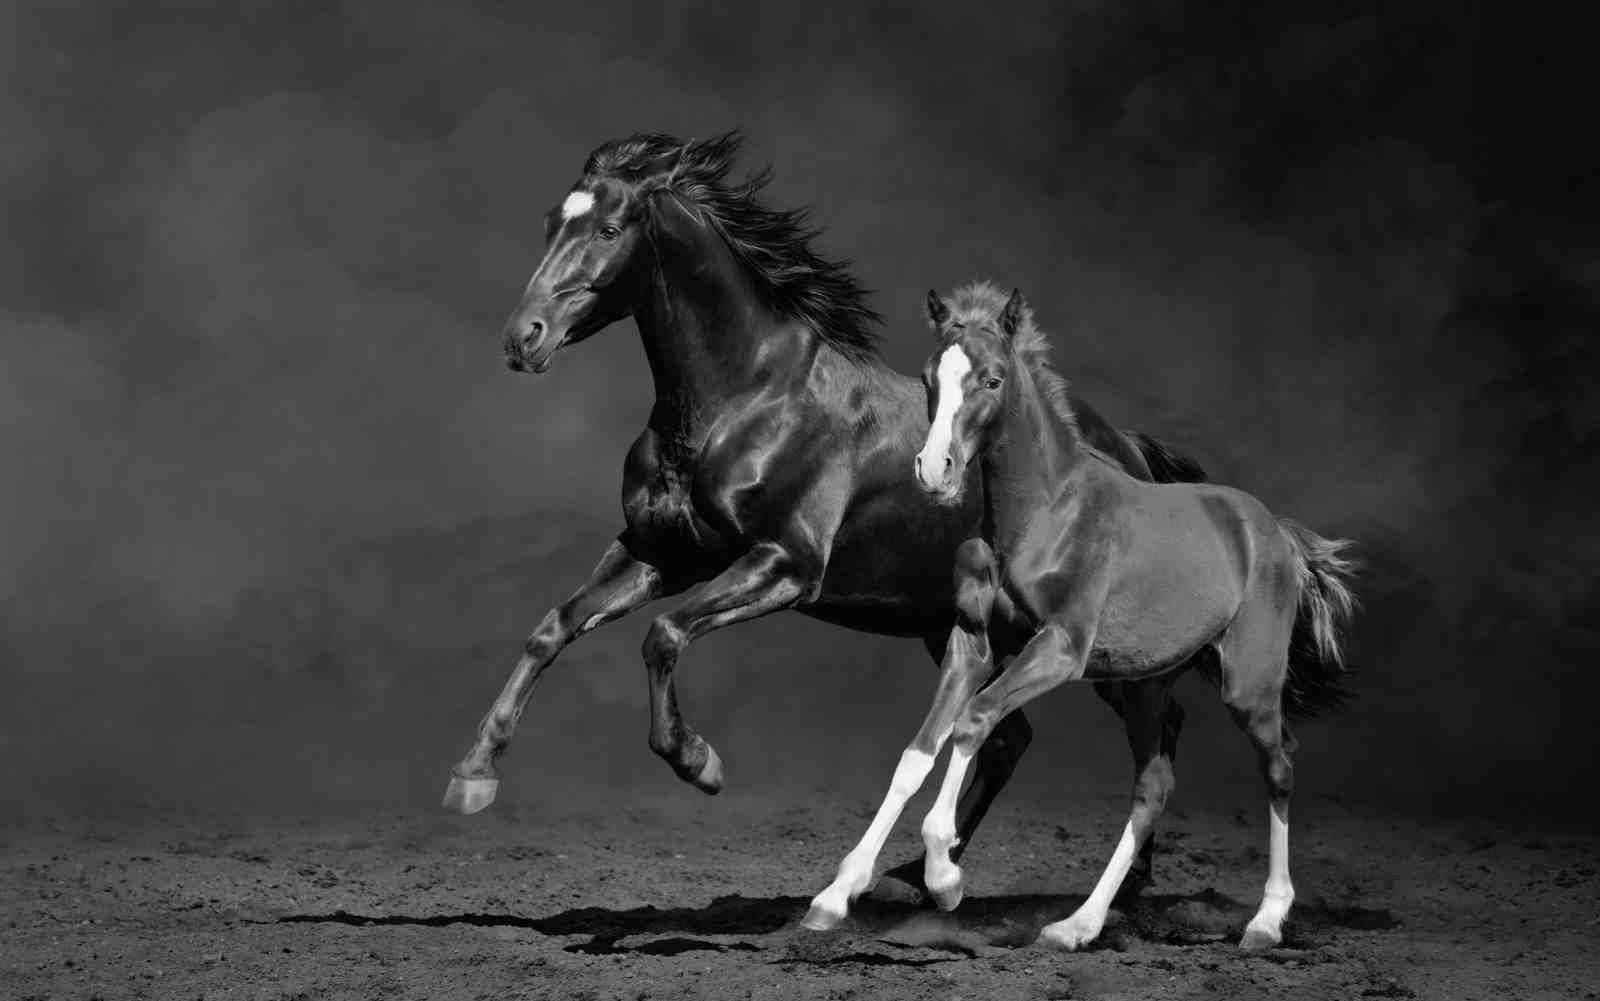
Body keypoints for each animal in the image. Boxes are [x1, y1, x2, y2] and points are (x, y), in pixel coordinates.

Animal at [442, 132, 1207, 897]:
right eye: (552, 222)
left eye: (606, 229)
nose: (524, 337)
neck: (747, 396)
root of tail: (1126, 449)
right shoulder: (662, 552)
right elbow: (553, 628)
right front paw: (473, 776)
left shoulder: (785, 565)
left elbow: (663, 635)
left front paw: (699, 761)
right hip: (952, 624)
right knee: (1010, 739)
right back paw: (920, 875)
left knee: (1158, 730)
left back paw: (1125, 881)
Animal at [805, 282, 1356, 949]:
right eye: (929, 377)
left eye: (992, 379)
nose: (934, 470)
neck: (1045, 514)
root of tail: (1274, 530)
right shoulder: (972, 643)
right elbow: (919, 751)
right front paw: (836, 895)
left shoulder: (1061, 648)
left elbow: (973, 720)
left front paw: (944, 876)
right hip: (1145, 684)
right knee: (1153, 785)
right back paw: (1076, 925)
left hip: (1247, 683)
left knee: (1278, 767)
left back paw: (1268, 920)